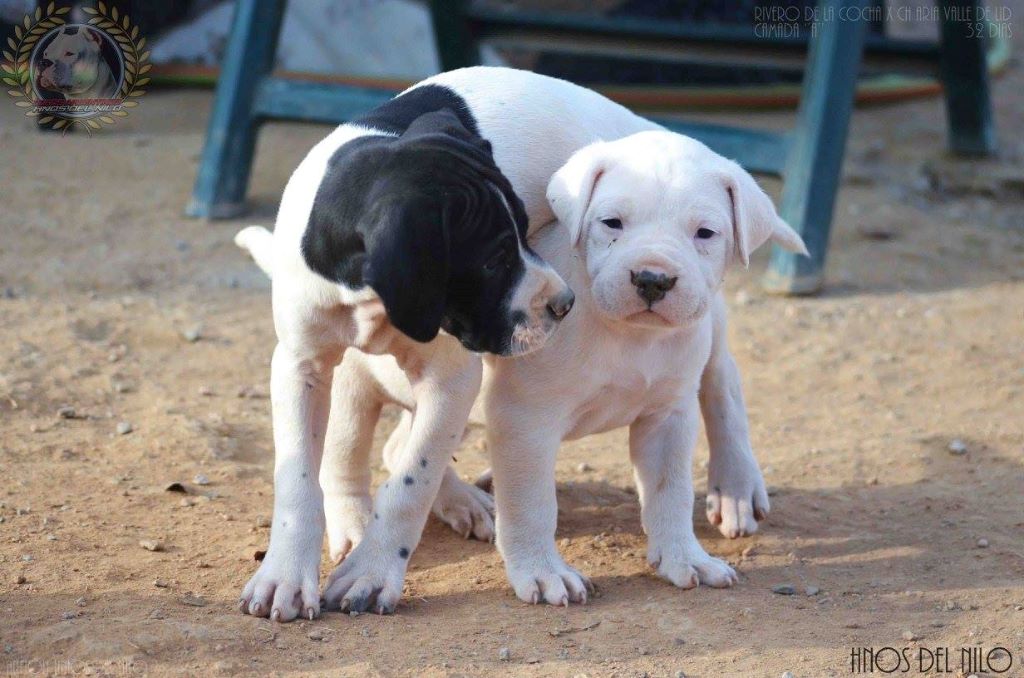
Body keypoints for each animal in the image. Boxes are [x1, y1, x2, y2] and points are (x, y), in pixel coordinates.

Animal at [234, 78, 575, 623]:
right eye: (494, 259)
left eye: (527, 229)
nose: (565, 303)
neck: (368, 299)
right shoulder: (299, 367)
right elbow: (297, 478)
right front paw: (283, 575)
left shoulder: (451, 380)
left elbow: (414, 479)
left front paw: (373, 573)